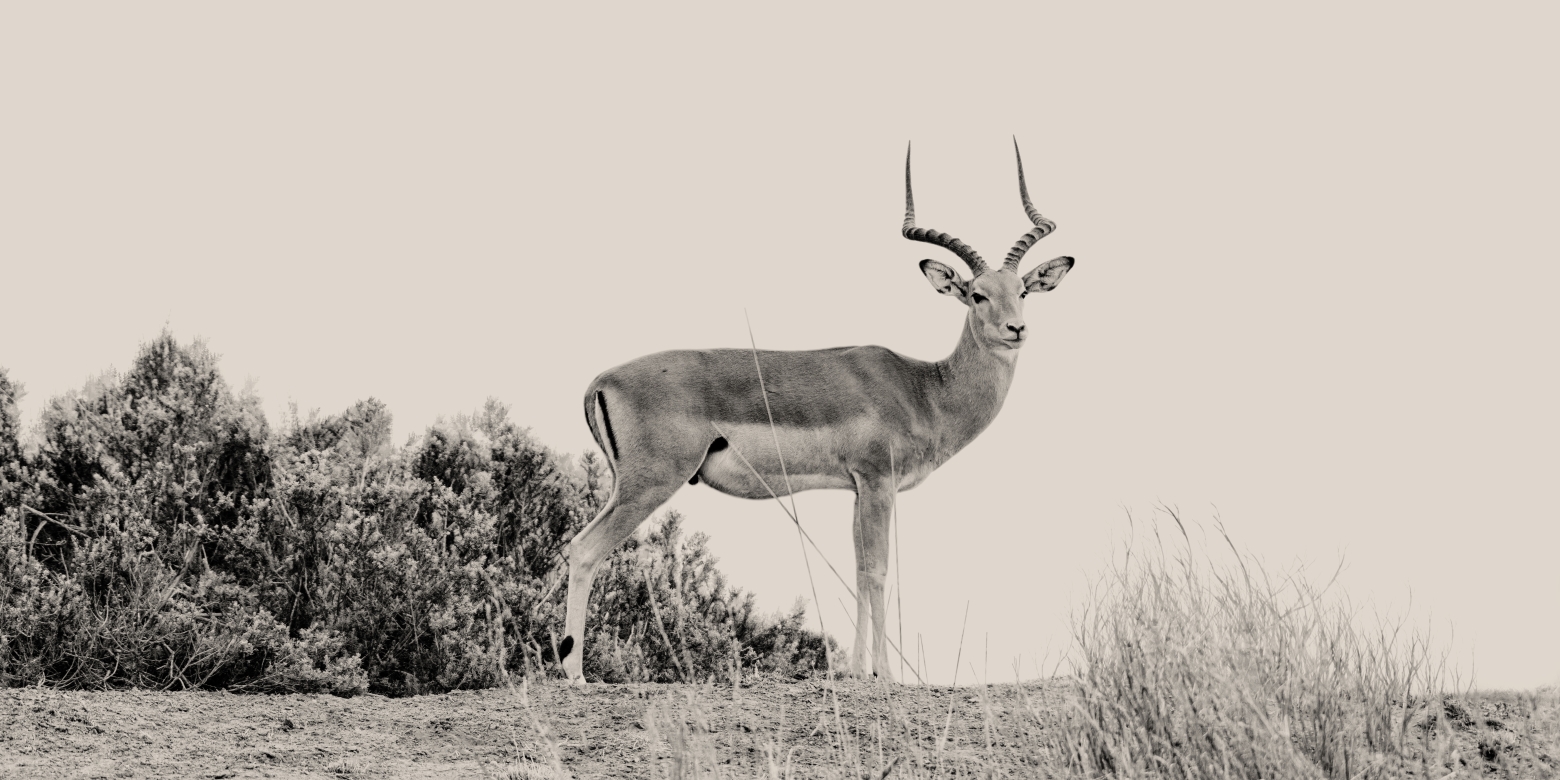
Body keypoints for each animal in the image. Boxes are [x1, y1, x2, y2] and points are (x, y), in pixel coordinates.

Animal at [561, 141, 1073, 683]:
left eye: (1022, 291)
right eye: (977, 294)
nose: (1016, 329)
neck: (924, 388)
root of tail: (601, 381)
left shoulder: (857, 490)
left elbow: (859, 569)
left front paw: (857, 670)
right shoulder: (878, 482)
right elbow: (877, 570)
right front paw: (884, 674)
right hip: (651, 482)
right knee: (584, 549)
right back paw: (575, 673)